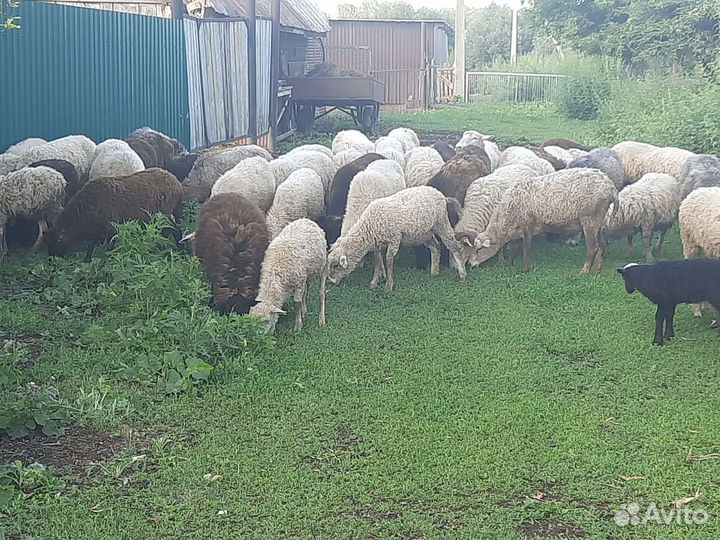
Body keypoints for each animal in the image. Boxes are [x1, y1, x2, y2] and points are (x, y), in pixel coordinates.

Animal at [44, 168, 182, 260]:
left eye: (59, 240)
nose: (53, 257)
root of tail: (176, 182)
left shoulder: (111, 226)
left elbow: (109, 247)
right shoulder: (97, 228)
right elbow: (91, 245)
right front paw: (87, 261)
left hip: (164, 213)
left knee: (174, 229)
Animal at [327, 186, 467, 291]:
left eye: (336, 265)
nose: (331, 281)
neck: (369, 226)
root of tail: (442, 196)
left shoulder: (394, 239)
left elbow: (388, 260)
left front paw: (389, 286)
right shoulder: (378, 244)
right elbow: (378, 261)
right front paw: (374, 283)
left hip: (441, 223)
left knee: (456, 247)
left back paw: (462, 275)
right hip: (424, 233)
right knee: (436, 247)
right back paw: (434, 271)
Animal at [474, 169, 619, 273]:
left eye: (479, 249)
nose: (472, 265)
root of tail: (610, 187)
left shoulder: (527, 226)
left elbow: (526, 249)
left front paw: (525, 269)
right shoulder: (518, 230)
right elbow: (515, 248)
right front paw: (510, 264)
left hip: (589, 219)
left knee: (593, 247)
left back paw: (584, 271)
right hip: (598, 221)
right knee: (602, 244)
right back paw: (598, 269)